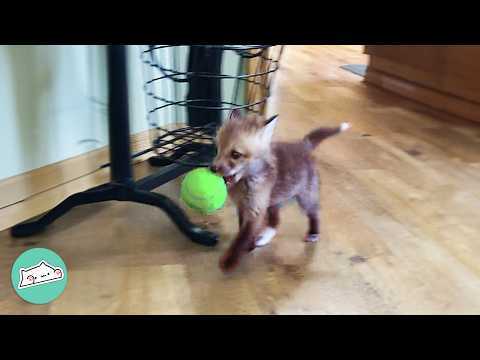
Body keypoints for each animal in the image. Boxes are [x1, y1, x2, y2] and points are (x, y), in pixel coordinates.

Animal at [210, 110, 348, 272]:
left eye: (235, 154)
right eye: (217, 148)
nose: (212, 168)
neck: (244, 185)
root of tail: (303, 144)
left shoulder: (255, 210)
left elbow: (241, 238)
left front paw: (230, 260)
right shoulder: (244, 208)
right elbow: (243, 231)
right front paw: (250, 245)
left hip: (305, 199)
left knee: (314, 213)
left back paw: (313, 233)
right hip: (274, 201)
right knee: (275, 222)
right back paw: (263, 237)